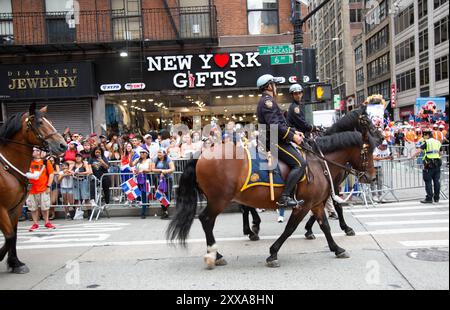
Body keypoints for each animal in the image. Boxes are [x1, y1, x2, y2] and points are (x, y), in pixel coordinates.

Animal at [0, 103, 67, 274]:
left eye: (50, 121)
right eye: (40, 122)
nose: (63, 145)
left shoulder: (15, 208)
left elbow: (13, 235)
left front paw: (15, 263)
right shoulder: (1, 209)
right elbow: (9, 236)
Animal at [169, 106, 384, 268]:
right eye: (368, 151)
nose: (372, 177)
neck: (319, 161)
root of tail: (203, 153)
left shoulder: (317, 202)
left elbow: (325, 225)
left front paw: (336, 248)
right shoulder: (306, 203)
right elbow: (291, 227)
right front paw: (273, 253)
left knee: (229, 213)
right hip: (219, 199)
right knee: (207, 220)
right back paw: (218, 253)